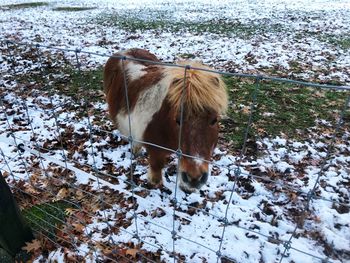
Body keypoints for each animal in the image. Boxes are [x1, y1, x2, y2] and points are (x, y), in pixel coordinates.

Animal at [103, 49, 230, 193]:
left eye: (214, 120)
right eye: (177, 120)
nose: (195, 178)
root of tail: (124, 51)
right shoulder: (155, 150)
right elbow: (156, 172)